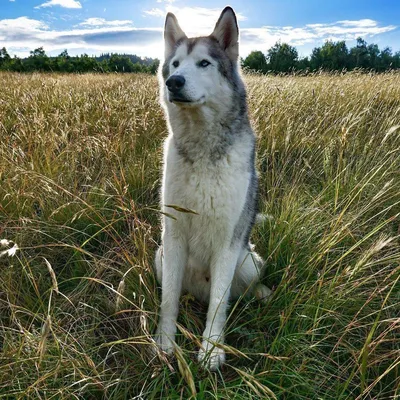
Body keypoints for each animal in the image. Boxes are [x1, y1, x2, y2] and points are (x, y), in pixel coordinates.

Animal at [155, 6, 270, 370]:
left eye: (204, 63)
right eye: (176, 64)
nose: (174, 82)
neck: (203, 147)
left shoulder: (227, 243)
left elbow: (220, 303)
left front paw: (211, 350)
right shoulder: (173, 234)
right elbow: (168, 301)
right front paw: (164, 343)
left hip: (248, 260)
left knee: (237, 292)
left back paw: (261, 294)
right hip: (160, 256)